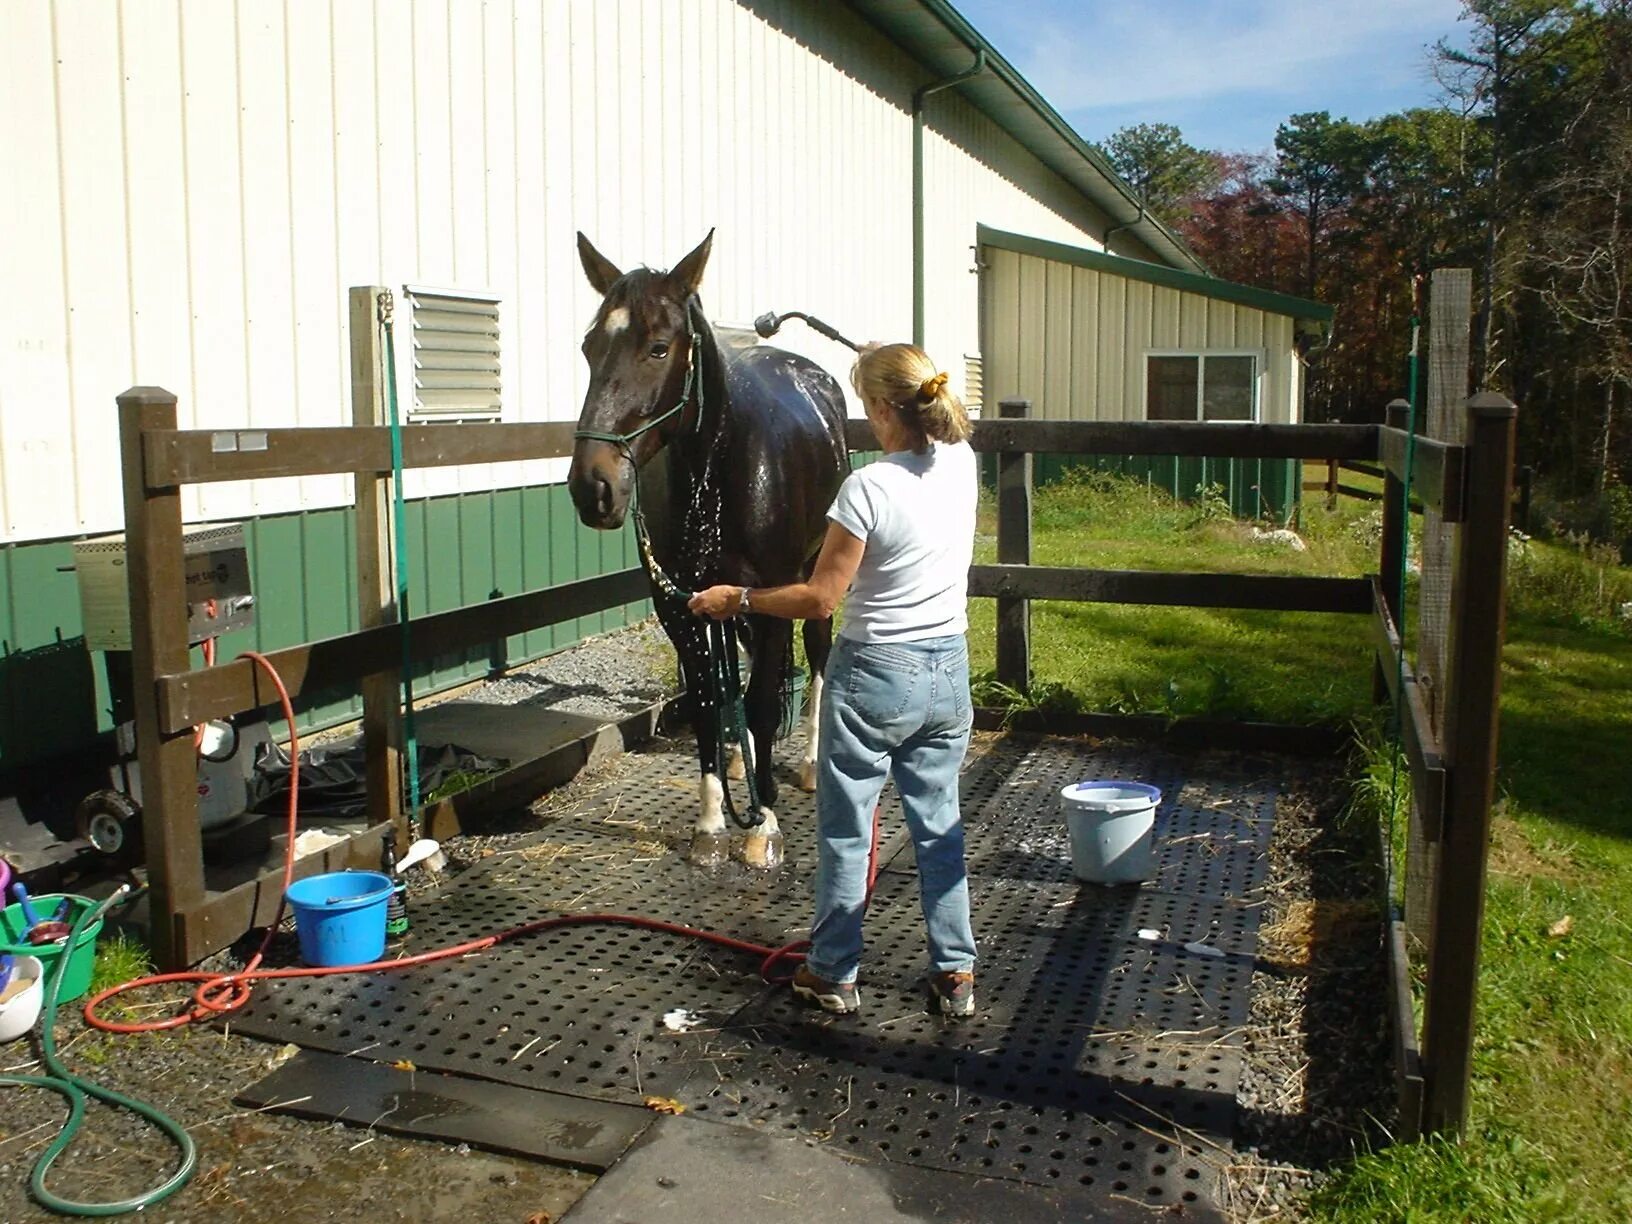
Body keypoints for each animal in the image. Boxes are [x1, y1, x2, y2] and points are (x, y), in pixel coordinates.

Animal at [567, 228, 848, 861]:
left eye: (659, 348)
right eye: (590, 346)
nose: (593, 488)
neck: (716, 474)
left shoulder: (774, 597)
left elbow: (765, 703)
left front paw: (763, 826)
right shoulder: (680, 604)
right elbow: (704, 701)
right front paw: (713, 821)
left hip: (813, 573)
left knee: (818, 654)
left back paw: (808, 764)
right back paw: (743, 766)